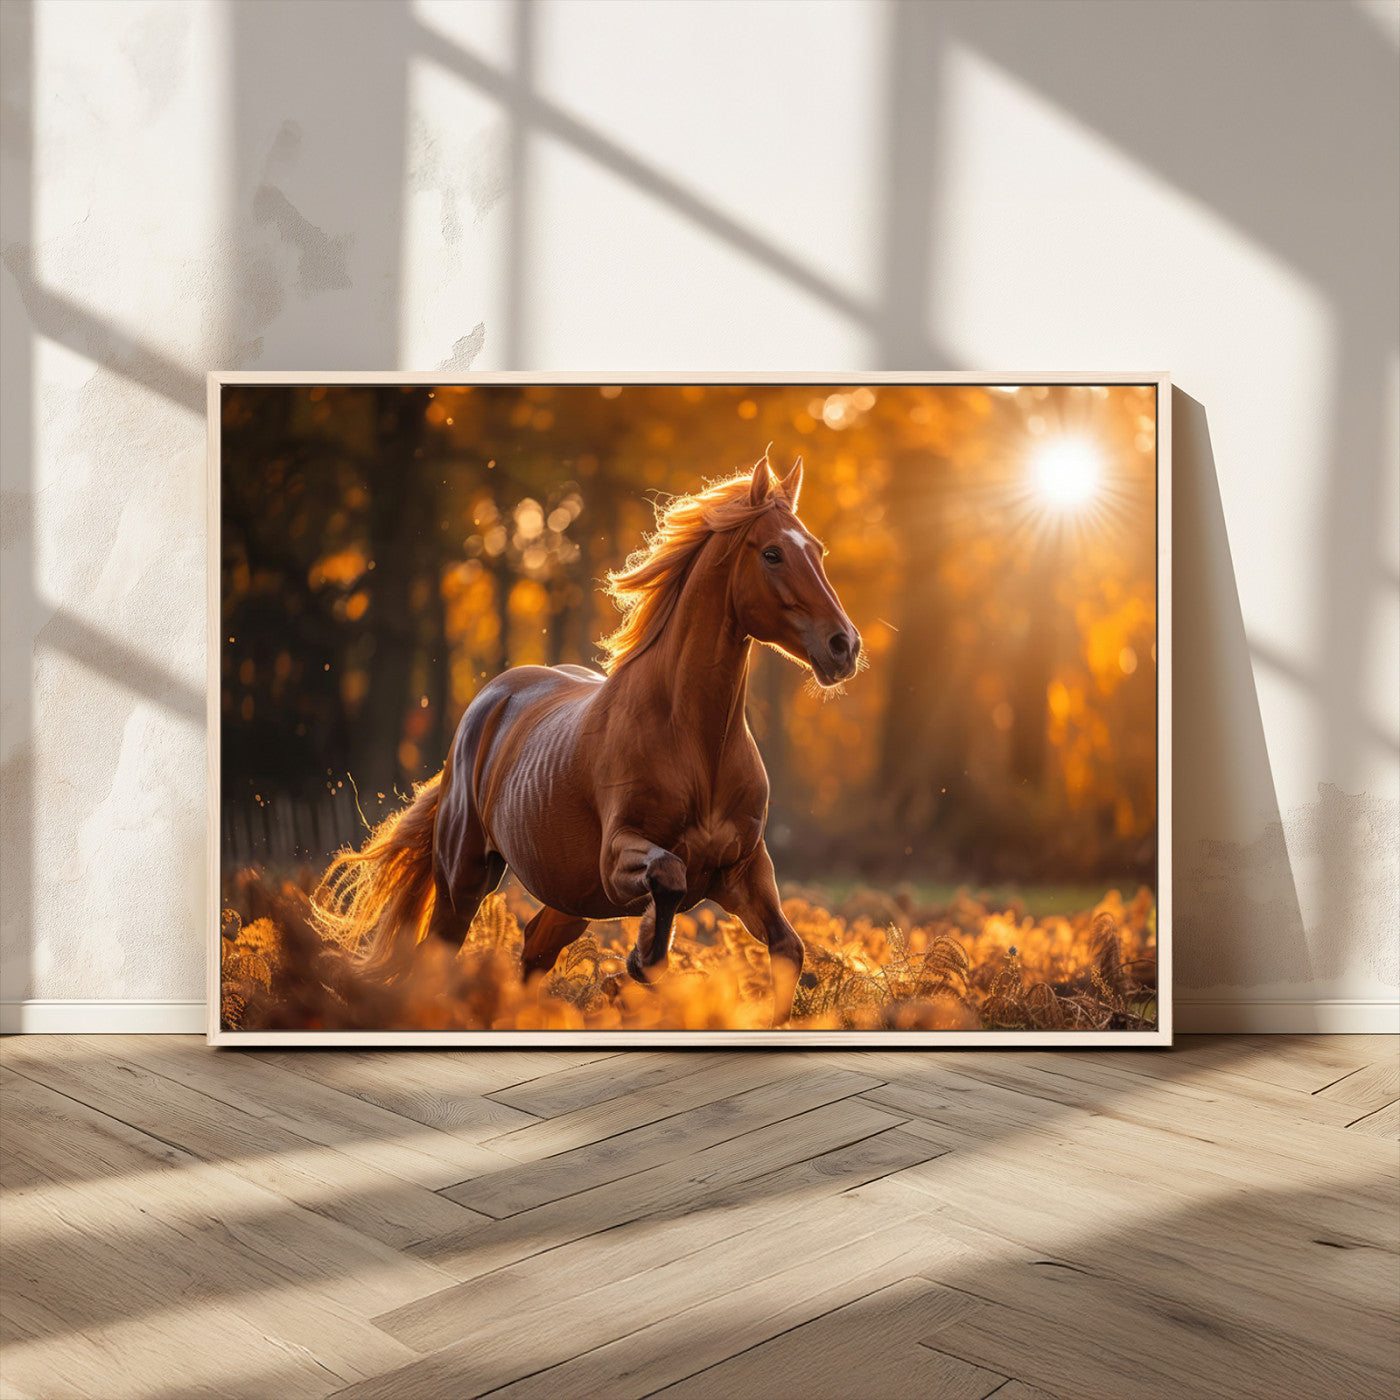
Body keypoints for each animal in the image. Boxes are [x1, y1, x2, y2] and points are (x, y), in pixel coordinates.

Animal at [314, 451, 861, 1024]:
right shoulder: (618, 861)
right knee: (440, 954)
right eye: (772, 553)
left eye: (817, 550)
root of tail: (489, 702)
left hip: (568, 896)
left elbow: (788, 949)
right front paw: (637, 960)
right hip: (464, 880)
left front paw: (634, 971)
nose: (843, 646)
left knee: (535, 946)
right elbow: (668, 883)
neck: (696, 745)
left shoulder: (744, 871)